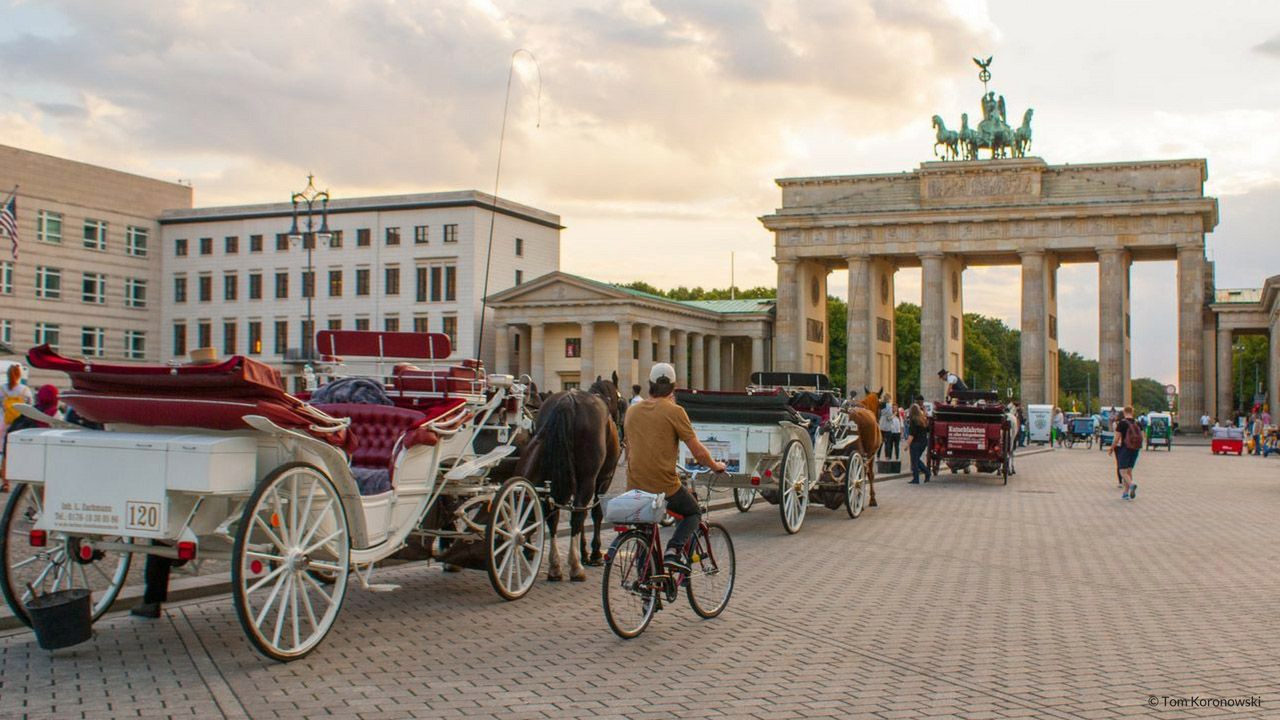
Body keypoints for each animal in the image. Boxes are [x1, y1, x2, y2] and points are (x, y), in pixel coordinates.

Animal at [517, 376, 622, 576]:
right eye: (621, 401)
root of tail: (567, 401)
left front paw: (585, 552)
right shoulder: (604, 479)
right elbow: (594, 513)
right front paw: (594, 553)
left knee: (551, 513)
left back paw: (554, 565)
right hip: (587, 478)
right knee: (577, 512)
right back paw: (574, 566)